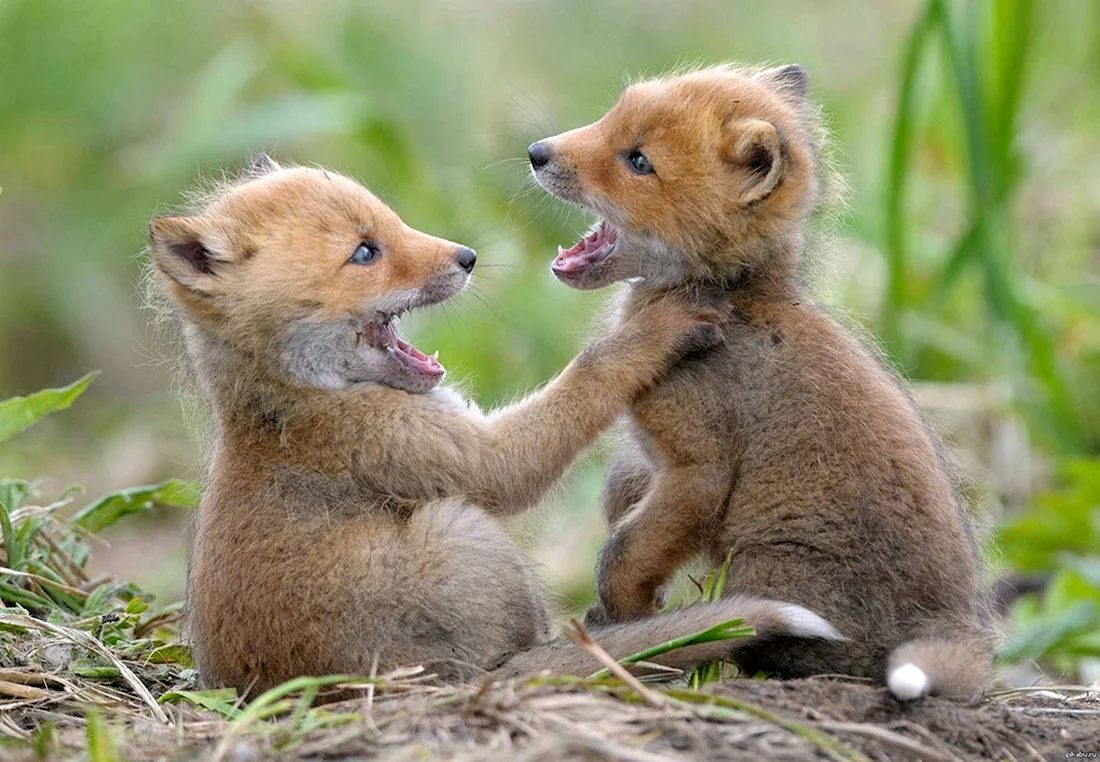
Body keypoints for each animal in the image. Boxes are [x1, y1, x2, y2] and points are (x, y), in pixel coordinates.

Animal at [147, 154, 843, 697]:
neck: (294, 400)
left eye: (392, 221)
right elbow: (585, 378)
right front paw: (653, 332)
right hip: (461, 531)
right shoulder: (441, 453)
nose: (468, 256)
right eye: (365, 252)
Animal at [528, 63, 997, 701]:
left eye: (639, 160)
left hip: (760, 567)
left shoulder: (699, 469)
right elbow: (623, 499)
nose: (536, 152)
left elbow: (621, 555)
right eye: (609, 117)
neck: (731, 301)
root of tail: (960, 628)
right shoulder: (651, 463)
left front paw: (622, 624)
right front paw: (629, 616)